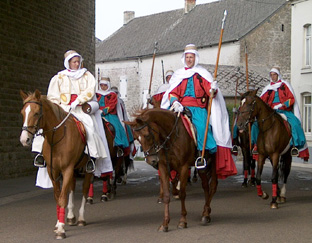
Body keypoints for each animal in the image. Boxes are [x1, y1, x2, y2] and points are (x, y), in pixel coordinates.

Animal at [19, 89, 92, 239]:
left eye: (36, 113)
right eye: (22, 113)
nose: (24, 139)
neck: (57, 137)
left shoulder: (67, 169)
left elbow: (63, 197)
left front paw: (61, 230)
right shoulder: (53, 171)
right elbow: (58, 197)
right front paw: (59, 223)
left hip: (88, 169)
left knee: (84, 189)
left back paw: (81, 218)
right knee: (72, 188)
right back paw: (70, 217)